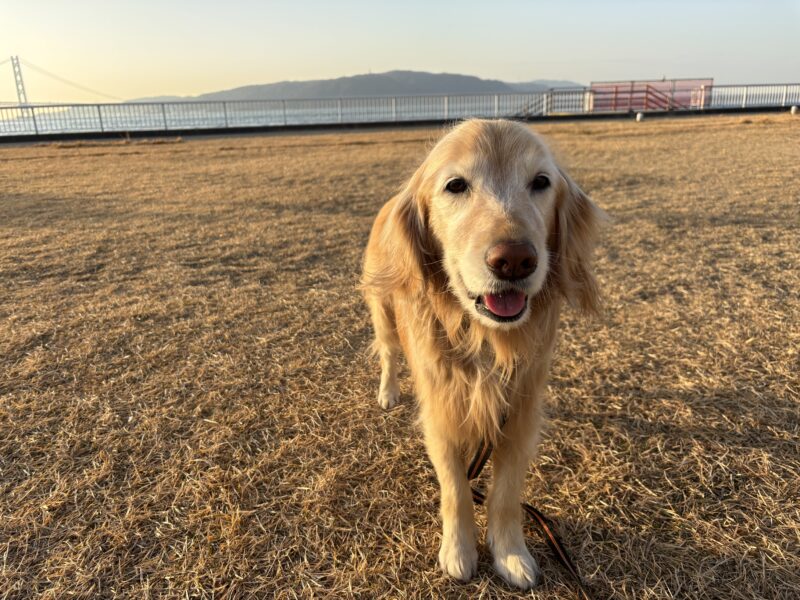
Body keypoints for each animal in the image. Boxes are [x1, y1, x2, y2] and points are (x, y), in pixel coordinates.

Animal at [361, 119, 602, 589]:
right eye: (456, 185)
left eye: (540, 182)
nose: (514, 260)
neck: (486, 341)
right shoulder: (441, 415)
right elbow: (456, 491)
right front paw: (458, 552)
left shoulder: (519, 415)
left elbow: (505, 494)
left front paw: (511, 554)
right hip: (384, 312)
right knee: (388, 354)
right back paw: (388, 392)